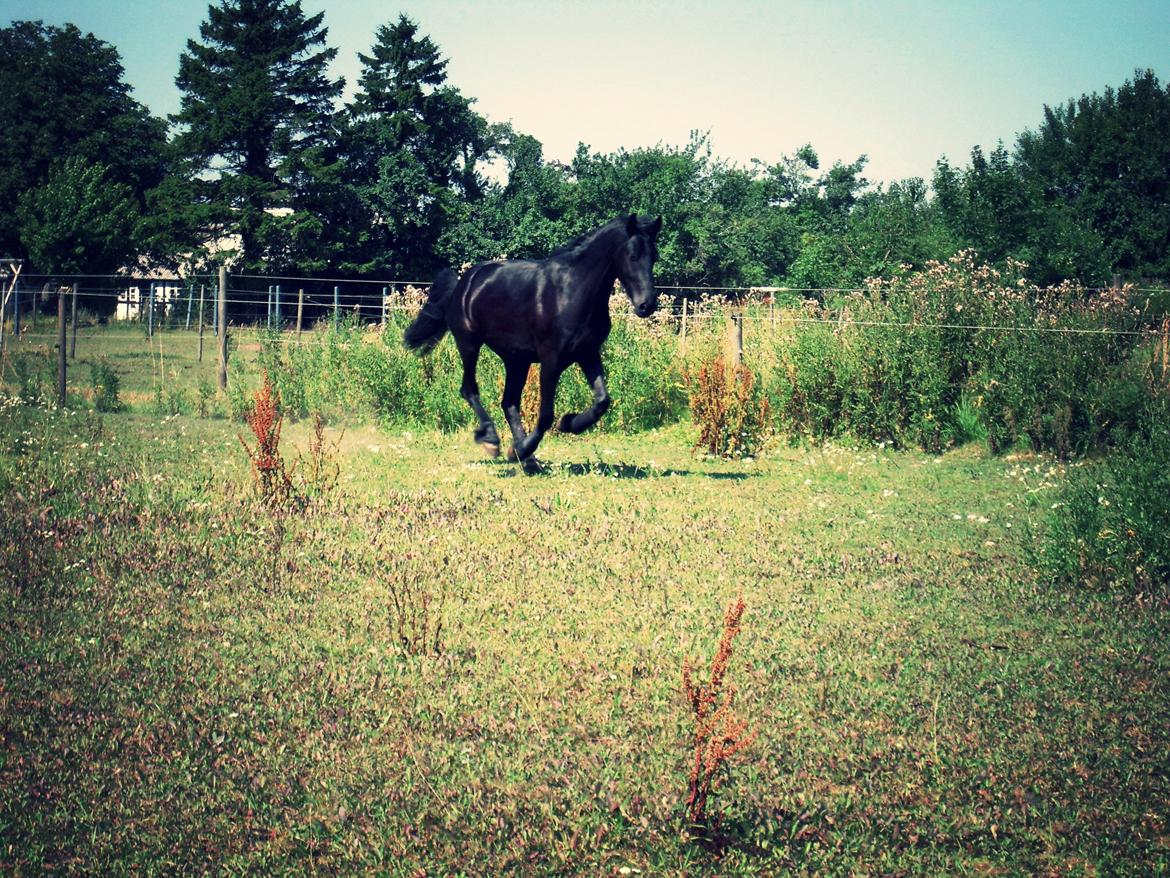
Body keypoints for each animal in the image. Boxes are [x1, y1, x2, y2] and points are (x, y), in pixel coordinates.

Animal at [404, 215, 664, 463]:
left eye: (655, 257)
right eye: (632, 256)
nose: (647, 305)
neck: (572, 292)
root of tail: (462, 285)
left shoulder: (588, 353)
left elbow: (602, 401)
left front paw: (569, 423)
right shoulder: (551, 360)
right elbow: (547, 414)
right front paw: (524, 446)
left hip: (516, 360)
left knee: (509, 402)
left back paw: (527, 460)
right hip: (469, 344)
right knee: (470, 389)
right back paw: (493, 440)